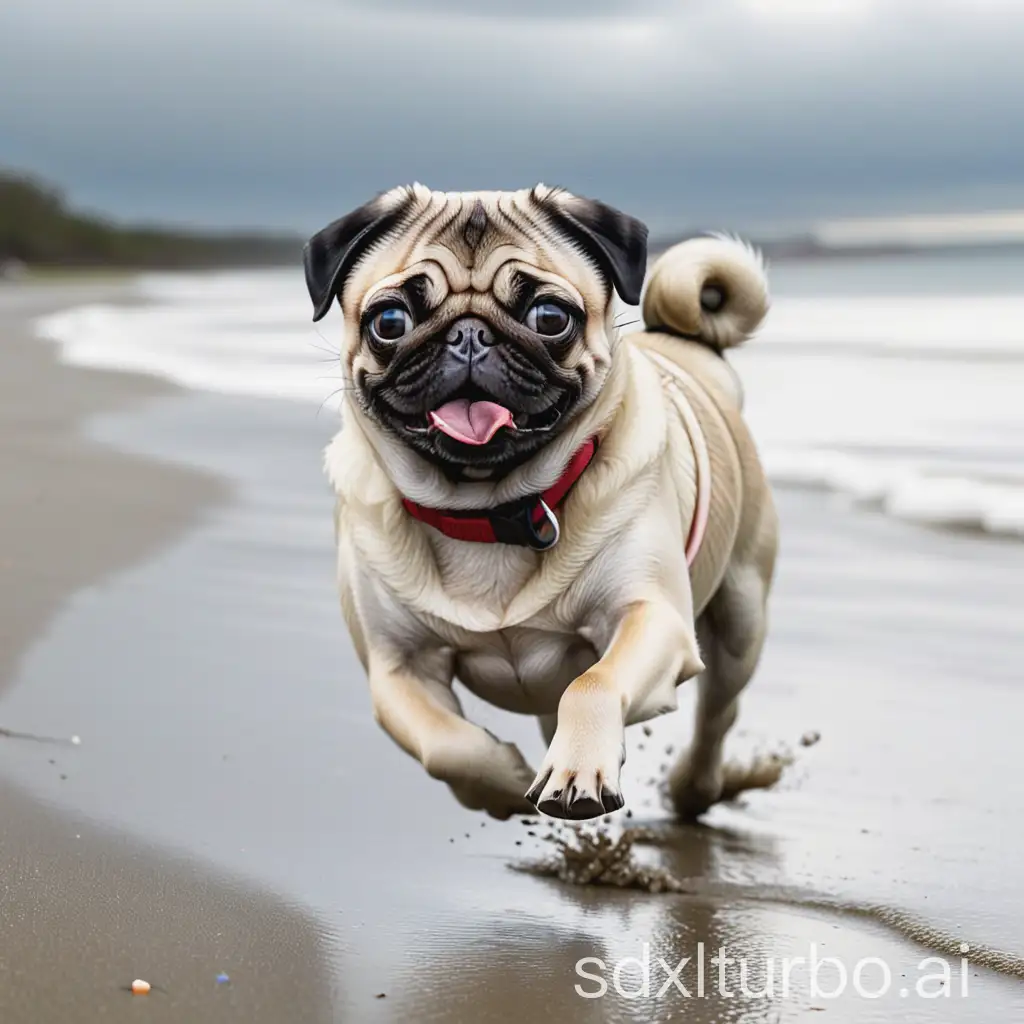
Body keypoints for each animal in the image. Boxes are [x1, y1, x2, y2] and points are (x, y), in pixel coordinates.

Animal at [303, 186, 774, 823]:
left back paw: (692, 789)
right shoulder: (398, 667)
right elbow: (447, 747)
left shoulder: (651, 616)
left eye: (550, 318)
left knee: (716, 714)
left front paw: (577, 771)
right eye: (390, 321)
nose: (469, 335)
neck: (487, 511)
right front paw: (503, 782)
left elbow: (594, 685)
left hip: (739, 622)